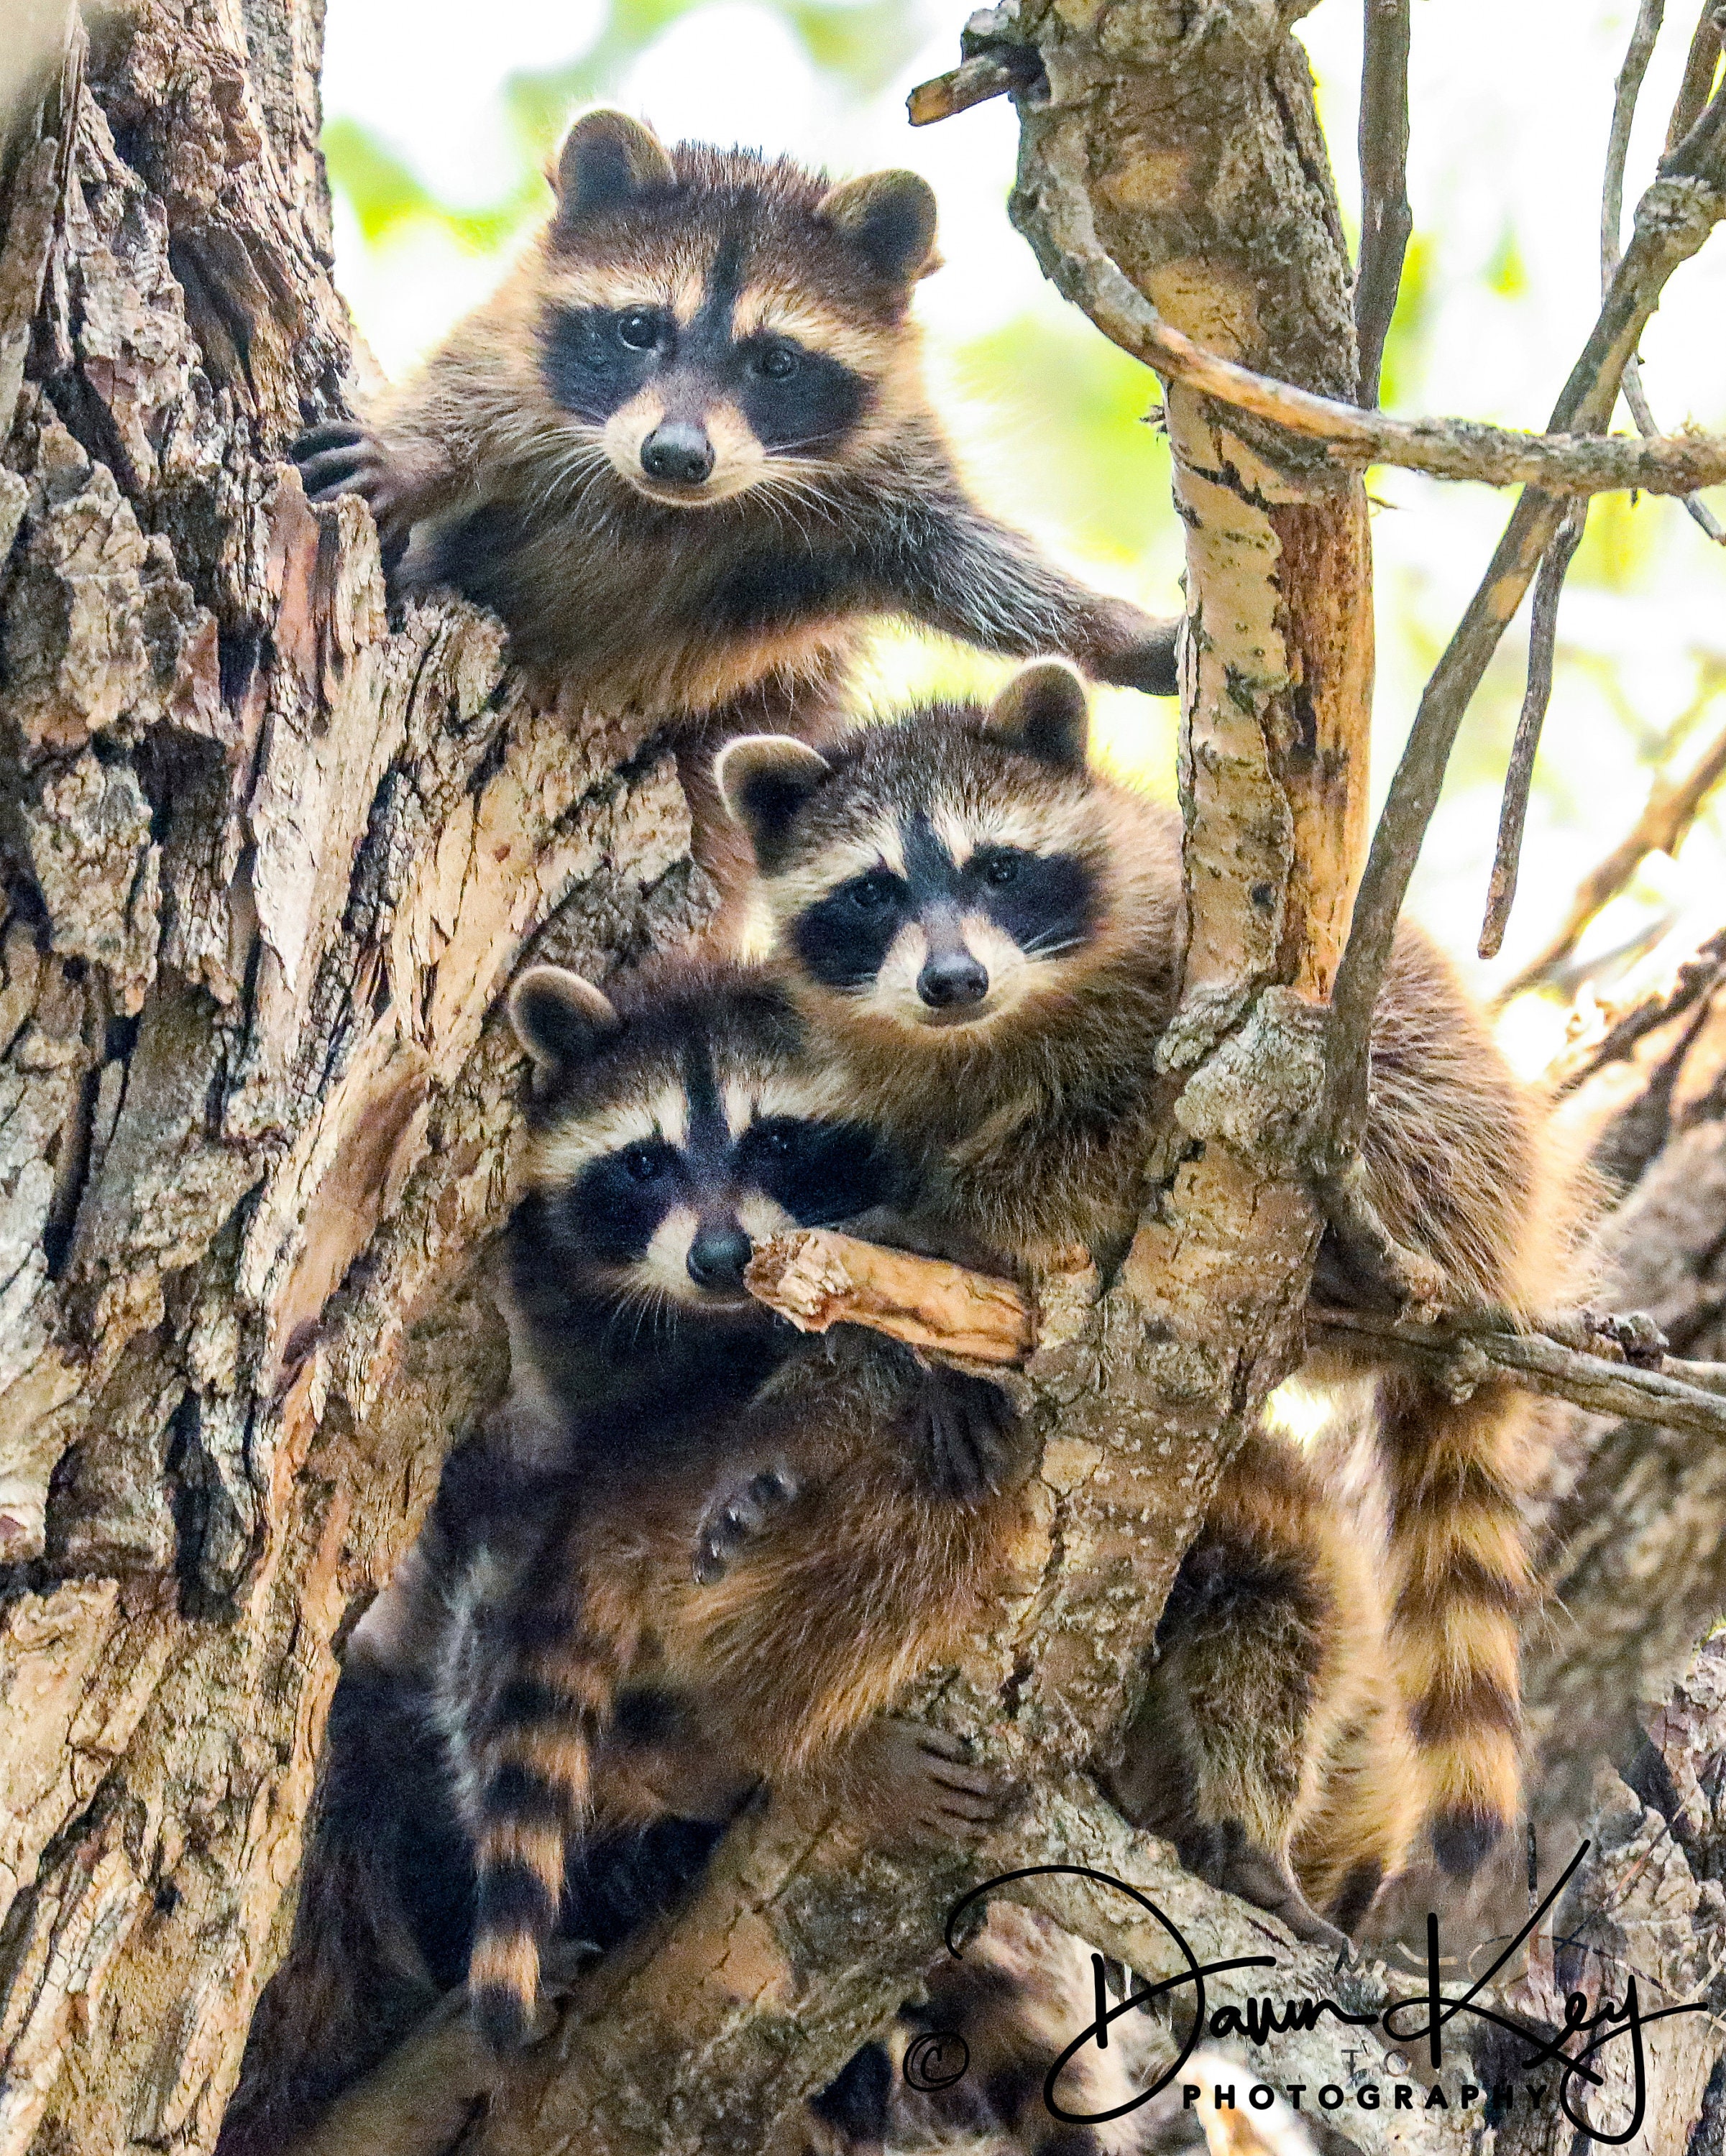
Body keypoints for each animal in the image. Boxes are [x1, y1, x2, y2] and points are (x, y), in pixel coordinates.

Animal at [293, 111, 1177, 897]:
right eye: (639, 328)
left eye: (777, 362)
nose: (676, 455)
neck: (666, 506)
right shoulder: (502, 350)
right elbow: (457, 406)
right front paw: (412, 458)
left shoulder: (892, 473)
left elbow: (974, 564)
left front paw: (1114, 632)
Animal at [713, 662, 1583, 1915]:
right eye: (873, 893)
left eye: (998, 868)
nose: (952, 980)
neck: (987, 1028)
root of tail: (1494, 1262)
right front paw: (928, 1354)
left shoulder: (1178, 984)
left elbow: (1117, 1136)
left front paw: (959, 1218)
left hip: (1424, 1117)